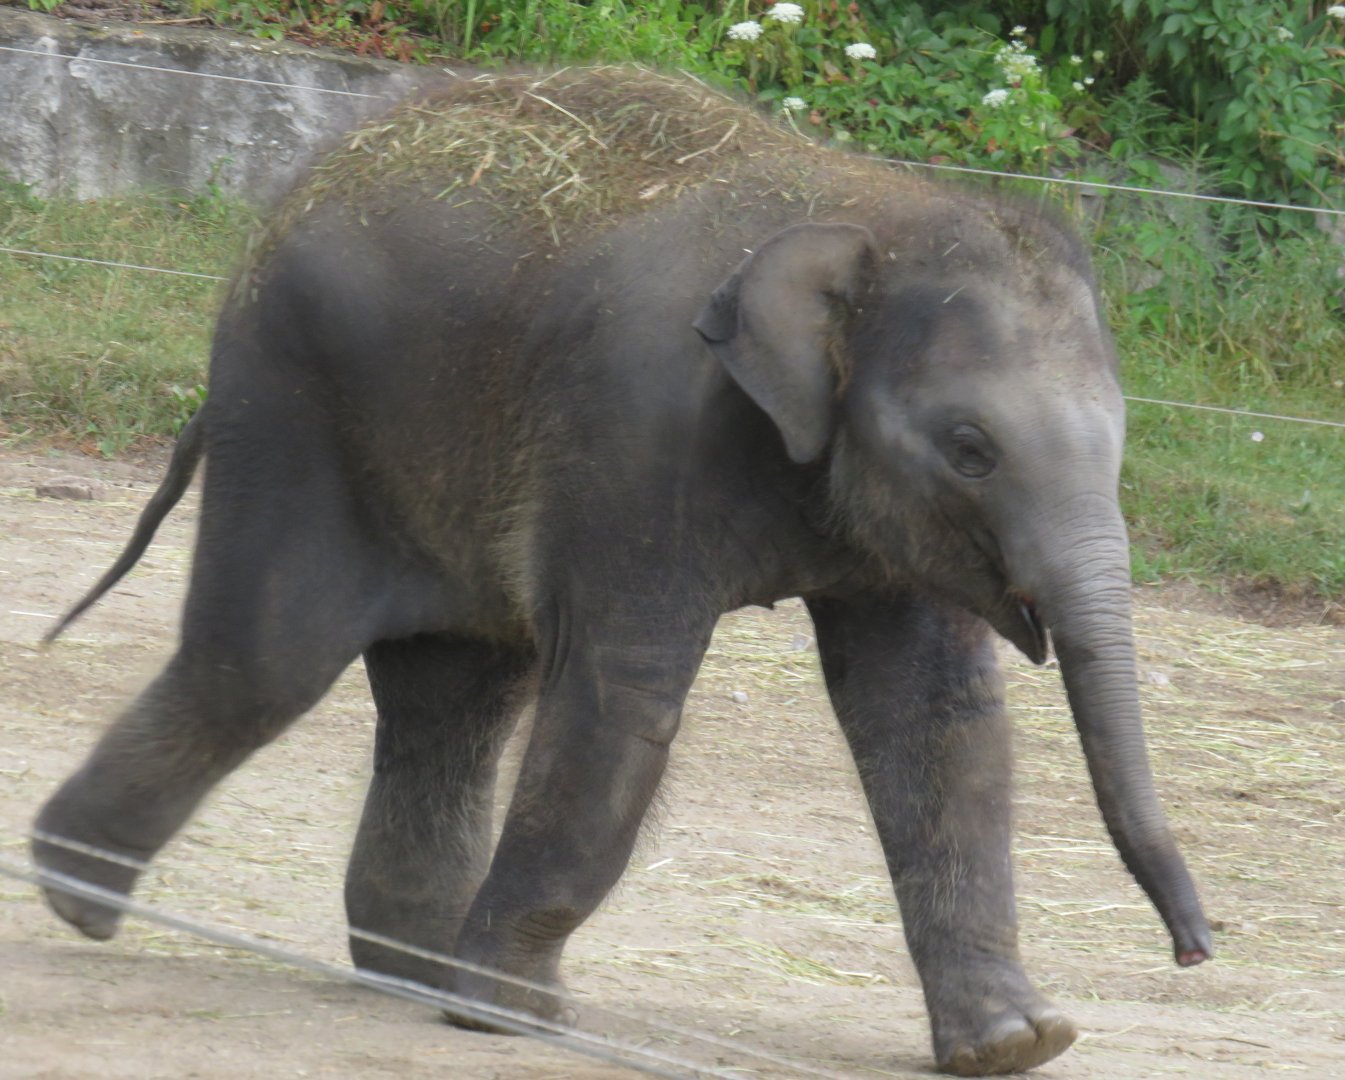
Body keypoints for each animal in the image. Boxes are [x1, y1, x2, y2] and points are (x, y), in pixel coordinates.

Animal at [32, 68, 1210, 1076]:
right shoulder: (635, 431)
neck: (867, 209)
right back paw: (80, 898)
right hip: (290, 403)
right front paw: (515, 1018)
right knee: (264, 661)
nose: (1197, 950)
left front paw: (1017, 1043)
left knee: (453, 699)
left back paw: (412, 971)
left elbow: (937, 718)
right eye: (971, 449)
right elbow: (622, 692)